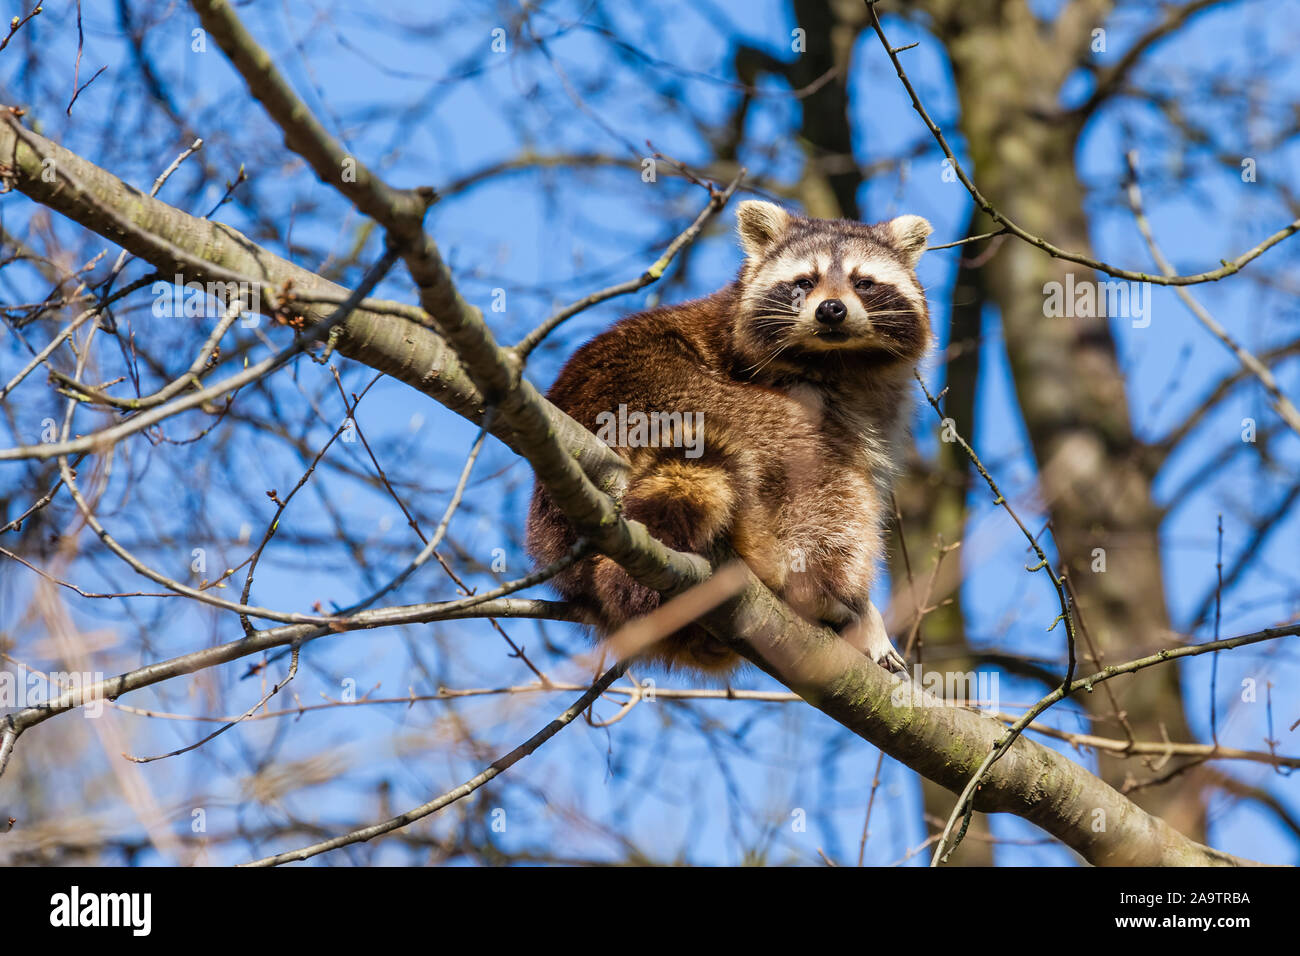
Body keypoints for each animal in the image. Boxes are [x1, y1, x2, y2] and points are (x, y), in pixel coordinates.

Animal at [527, 200, 935, 681]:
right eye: (805, 282)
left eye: (863, 282)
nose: (831, 310)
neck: (838, 360)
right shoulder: (785, 384)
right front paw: (864, 611)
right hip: (710, 402)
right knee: (827, 472)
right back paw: (815, 585)